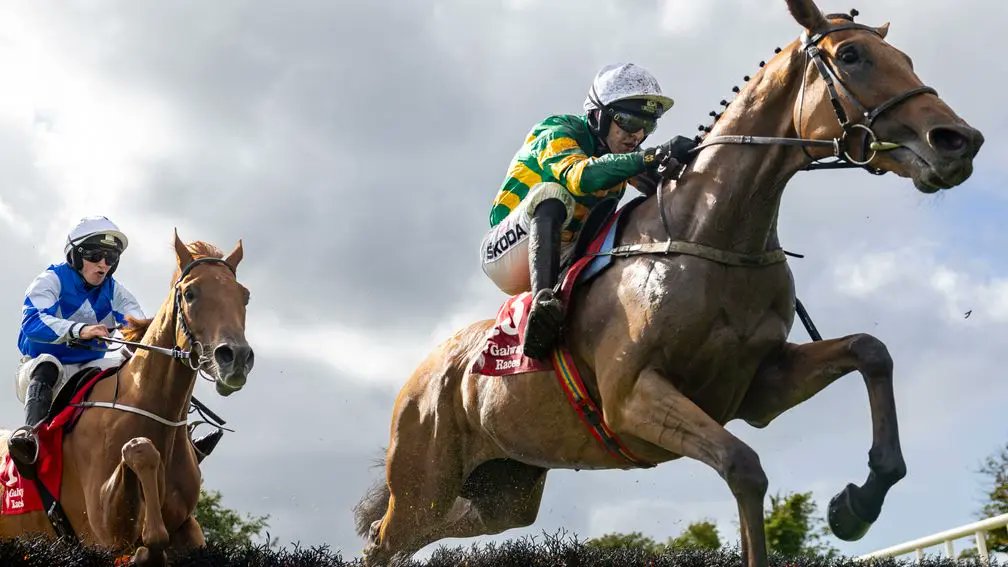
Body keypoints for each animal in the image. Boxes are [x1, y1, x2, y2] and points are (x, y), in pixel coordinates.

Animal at [0, 232, 252, 560]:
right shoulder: (104, 532)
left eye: (244, 296)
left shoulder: (189, 528)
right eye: (190, 293)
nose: (236, 357)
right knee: (45, 365)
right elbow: (140, 451)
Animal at [354, 1, 983, 564]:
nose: (959, 140)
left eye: (905, 57)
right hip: (426, 481)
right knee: (384, 539)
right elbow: (744, 468)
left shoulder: (758, 386)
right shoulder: (633, 398)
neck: (713, 239)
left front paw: (855, 505)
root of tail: (419, 377)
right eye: (851, 55)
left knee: (424, 531)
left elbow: (870, 351)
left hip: (501, 492)